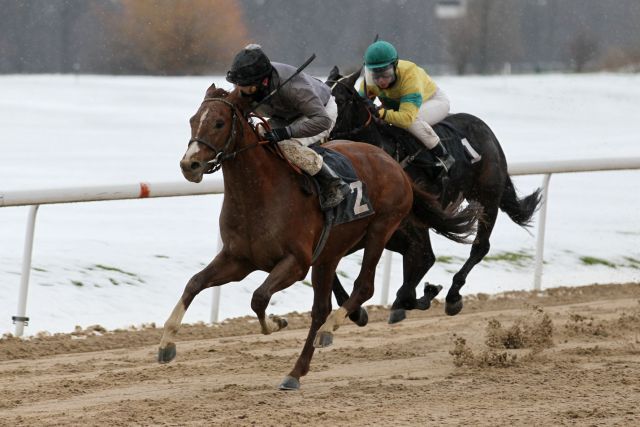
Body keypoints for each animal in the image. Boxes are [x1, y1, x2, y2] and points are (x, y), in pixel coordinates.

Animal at [156, 83, 476, 392]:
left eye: (219, 123)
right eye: (193, 120)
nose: (189, 165)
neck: (259, 194)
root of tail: (394, 163)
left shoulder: (296, 263)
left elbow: (259, 297)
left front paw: (278, 322)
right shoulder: (237, 260)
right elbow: (194, 283)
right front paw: (166, 344)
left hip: (381, 228)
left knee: (364, 287)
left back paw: (330, 330)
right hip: (329, 255)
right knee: (322, 308)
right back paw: (296, 372)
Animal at [324, 67, 540, 320]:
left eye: (339, 100)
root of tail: (485, 130)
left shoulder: (410, 224)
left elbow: (423, 259)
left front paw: (417, 296)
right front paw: (357, 311)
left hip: (487, 198)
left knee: (480, 246)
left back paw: (453, 296)